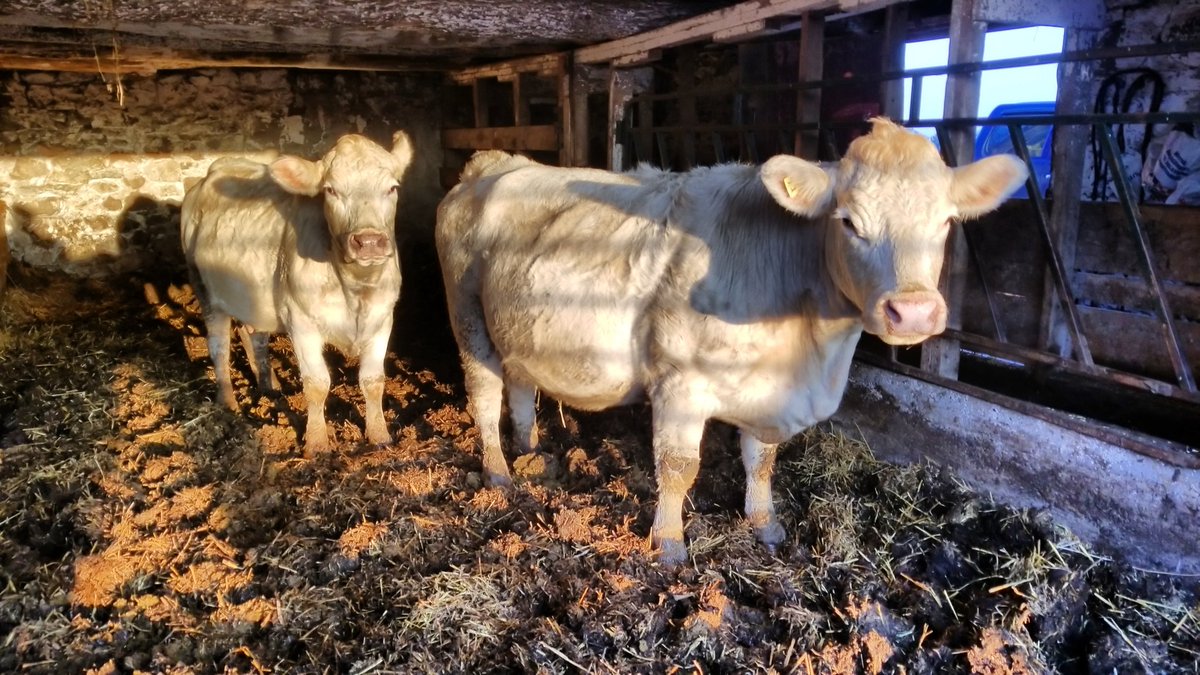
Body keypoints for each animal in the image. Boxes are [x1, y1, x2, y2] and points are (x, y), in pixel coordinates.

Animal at [180, 131, 414, 455]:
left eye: (392, 187)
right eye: (331, 190)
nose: (368, 241)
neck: (356, 289)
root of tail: (212, 173)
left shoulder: (382, 318)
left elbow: (373, 380)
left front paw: (380, 436)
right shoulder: (301, 321)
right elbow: (316, 383)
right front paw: (316, 443)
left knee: (254, 335)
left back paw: (269, 386)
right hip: (202, 285)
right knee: (219, 345)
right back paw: (227, 403)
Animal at [435, 118, 1026, 564]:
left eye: (946, 221)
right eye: (848, 221)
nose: (914, 311)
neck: (809, 356)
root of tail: (495, 163)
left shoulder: (768, 392)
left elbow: (761, 459)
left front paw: (764, 523)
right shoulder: (678, 384)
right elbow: (678, 468)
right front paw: (669, 544)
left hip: (516, 323)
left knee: (520, 383)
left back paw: (533, 452)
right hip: (466, 317)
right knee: (483, 395)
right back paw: (499, 472)